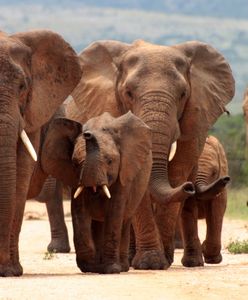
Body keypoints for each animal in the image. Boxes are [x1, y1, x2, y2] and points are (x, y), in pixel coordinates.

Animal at [39, 110, 152, 274]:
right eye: (75, 163)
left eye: (110, 161)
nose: (87, 134)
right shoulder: (76, 178)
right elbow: (79, 212)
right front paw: (90, 267)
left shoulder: (123, 174)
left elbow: (114, 213)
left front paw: (112, 269)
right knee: (98, 224)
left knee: (125, 220)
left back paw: (123, 267)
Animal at [176, 135, 231, 266]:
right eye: (190, 169)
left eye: (214, 172)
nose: (226, 179)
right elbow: (187, 210)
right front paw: (193, 263)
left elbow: (216, 211)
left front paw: (212, 259)